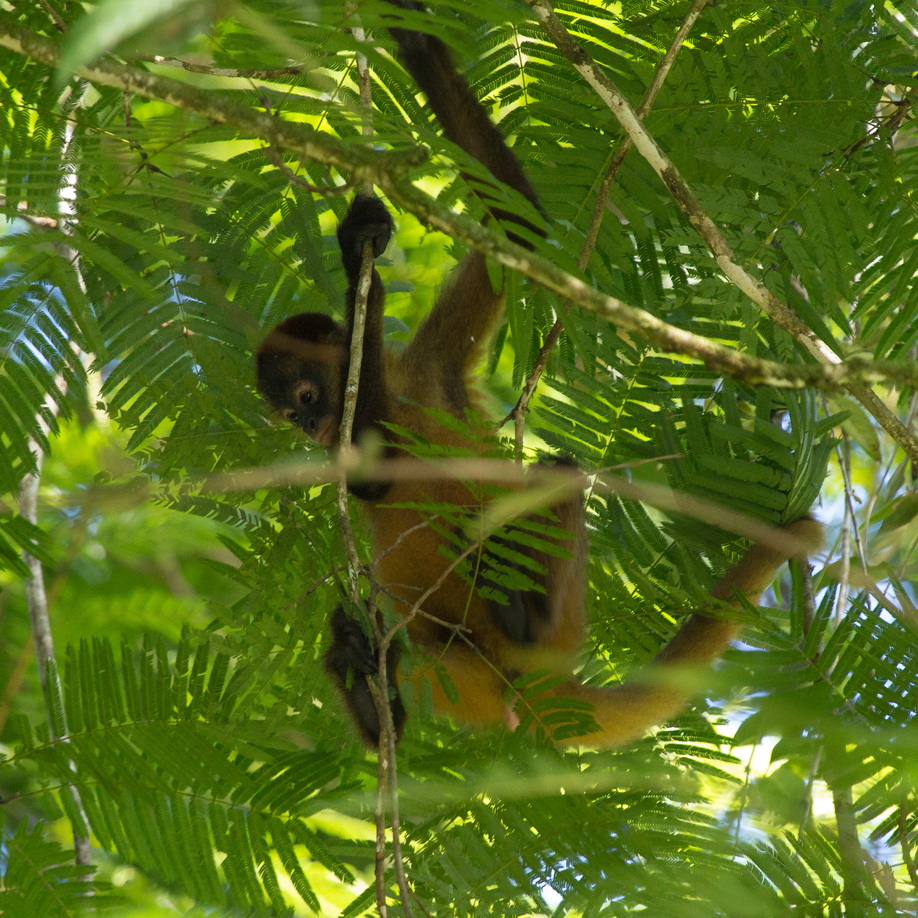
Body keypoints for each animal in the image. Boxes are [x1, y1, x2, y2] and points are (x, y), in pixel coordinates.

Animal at [255, 5, 825, 748]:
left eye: (303, 395)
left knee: (555, 472)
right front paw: (363, 279)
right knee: (405, 656)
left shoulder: (434, 362)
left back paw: (520, 613)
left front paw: (412, 44)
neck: (398, 386)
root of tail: (540, 686)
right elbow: (371, 477)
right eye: (289, 416)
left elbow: (518, 222)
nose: (312, 425)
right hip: (460, 670)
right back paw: (371, 691)